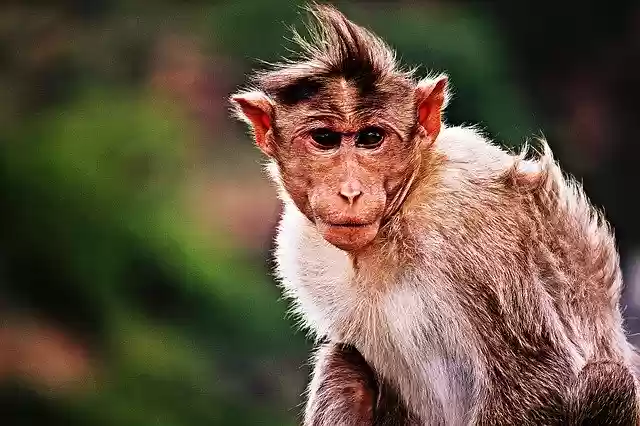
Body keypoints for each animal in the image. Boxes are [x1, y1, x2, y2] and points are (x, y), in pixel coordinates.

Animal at [230, 4, 640, 425]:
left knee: (610, 379)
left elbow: (540, 376)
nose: (350, 192)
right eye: (324, 139)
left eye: (371, 138)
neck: (395, 222)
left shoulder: (462, 214)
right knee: (344, 362)